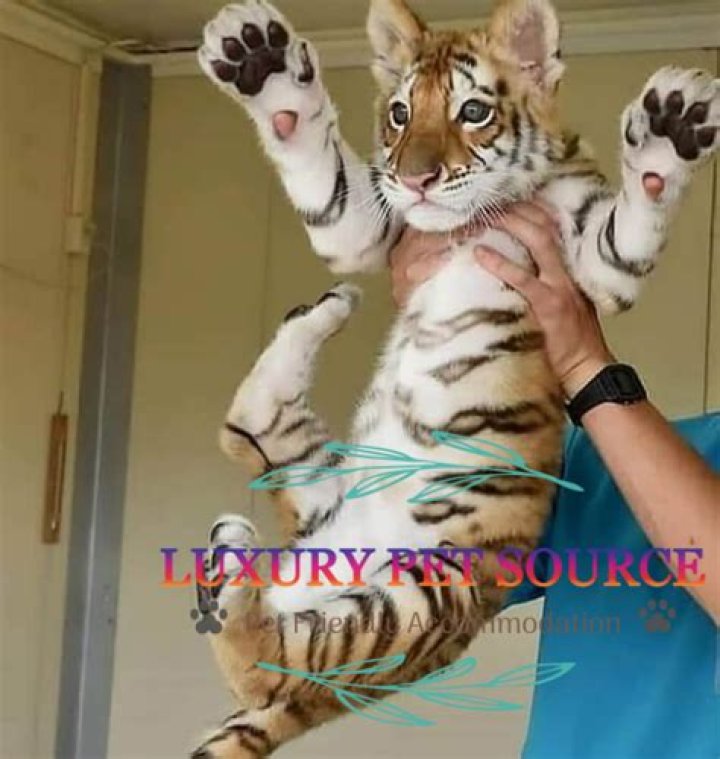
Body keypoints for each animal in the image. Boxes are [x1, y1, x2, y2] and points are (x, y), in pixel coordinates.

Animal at [192, 0, 719, 755]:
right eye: (399, 114)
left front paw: (672, 125)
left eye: (473, 111)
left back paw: (231, 573)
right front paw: (260, 62)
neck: (468, 221)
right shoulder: (372, 228)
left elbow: (632, 224)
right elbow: (325, 179)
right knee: (247, 428)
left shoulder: (593, 267)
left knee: (264, 668)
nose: (415, 180)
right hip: (321, 493)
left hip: (415, 605)